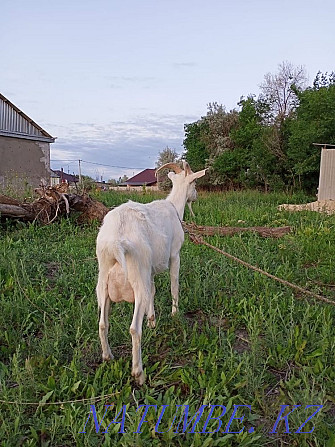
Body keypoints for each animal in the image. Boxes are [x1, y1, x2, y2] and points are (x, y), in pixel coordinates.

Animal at [96, 162, 207, 384]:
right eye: (195, 183)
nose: (196, 196)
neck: (174, 208)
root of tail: (116, 241)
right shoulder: (174, 255)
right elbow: (174, 285)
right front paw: (174, 314)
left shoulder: (151, 271)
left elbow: (154, 291)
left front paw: (152, 320)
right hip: (137, 276)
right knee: (133, 328)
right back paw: (138, 373)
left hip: (104, 282)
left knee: (103, 323)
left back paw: (108, 356)